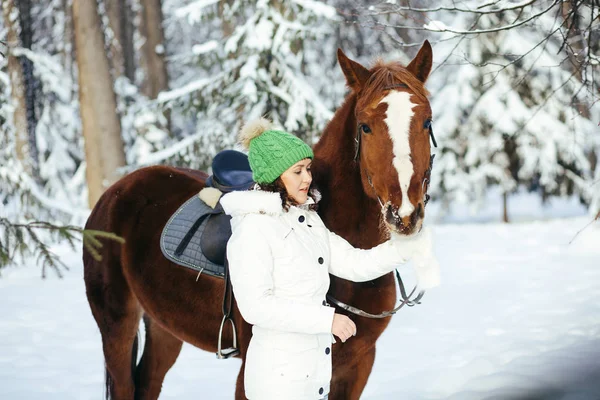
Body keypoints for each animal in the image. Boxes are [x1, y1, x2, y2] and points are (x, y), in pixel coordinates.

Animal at [82, 41, 434, 400]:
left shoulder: (358, 365)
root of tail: (115, 192)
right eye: (365, 126)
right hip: (116, 326)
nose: (405, 214)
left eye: (426, 122)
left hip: (164, 325)